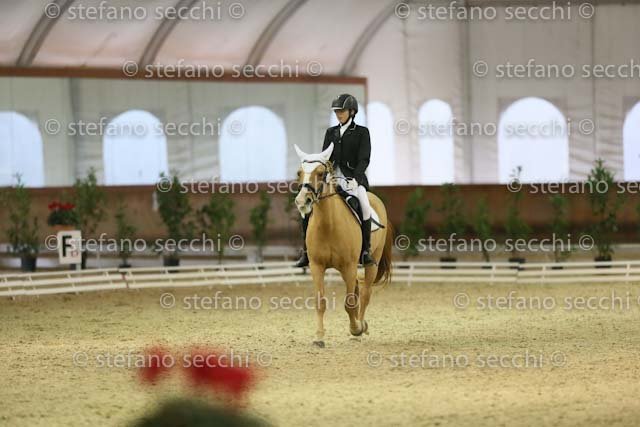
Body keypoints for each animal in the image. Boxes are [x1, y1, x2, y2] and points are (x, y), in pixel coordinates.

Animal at [293, 143, 393, 347]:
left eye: (321, 173)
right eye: (299, 173)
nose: (302, 201)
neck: (328, 225)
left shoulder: (348, 266)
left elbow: (349, 303)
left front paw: (356, 329)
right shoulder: (317, 266)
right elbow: (321, 302)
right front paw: (319, 337)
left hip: (371, 262)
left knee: (365, 294)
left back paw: (360, 327)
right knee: (357, 291)